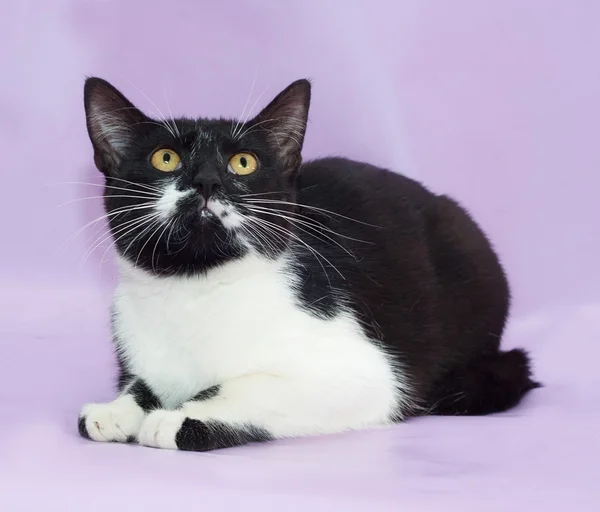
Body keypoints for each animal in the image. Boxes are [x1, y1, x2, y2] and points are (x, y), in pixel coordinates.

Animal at [76, 77, 540, 452]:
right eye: (165, 158)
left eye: (243, 162)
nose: (207, 181)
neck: (196, 288)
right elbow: (141, 383)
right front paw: (116, 410)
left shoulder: (369, 375)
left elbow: (252, 383)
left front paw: (180, 416)